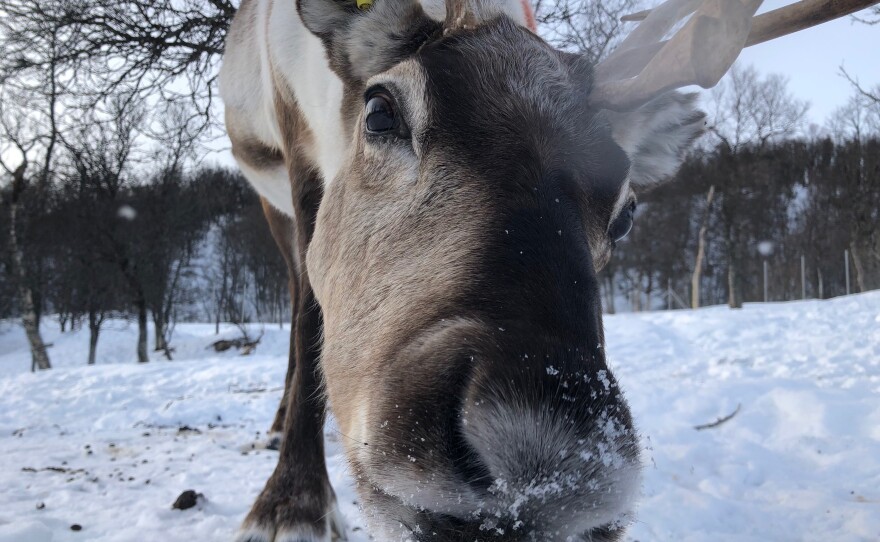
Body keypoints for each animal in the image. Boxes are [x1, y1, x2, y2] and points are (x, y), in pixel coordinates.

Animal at [218, 0, 877, 540]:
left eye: (627, 212)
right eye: (380, 111)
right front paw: (291, 507)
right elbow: (309, 317)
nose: (548, 466)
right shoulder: (300, 157)